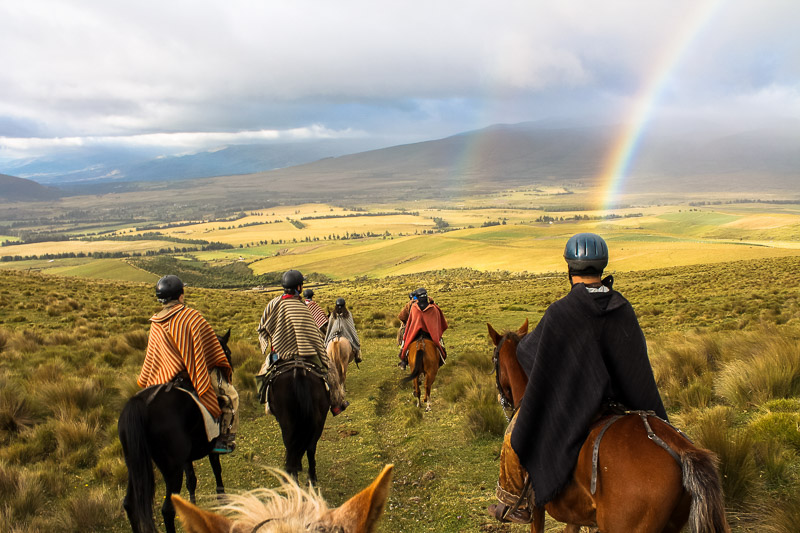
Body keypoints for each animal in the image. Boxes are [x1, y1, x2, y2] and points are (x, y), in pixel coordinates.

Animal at [118, 328, 234, 532]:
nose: (229, 375)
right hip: (171, 470)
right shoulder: (211, 446)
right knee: (167, 510)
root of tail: (137, 404)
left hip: (133, 464)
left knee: (129, 503)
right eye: (226, 352)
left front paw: (193, 509)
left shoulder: (186, 459)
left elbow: (192, 481)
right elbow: (216, 469)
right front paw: (222, 499)